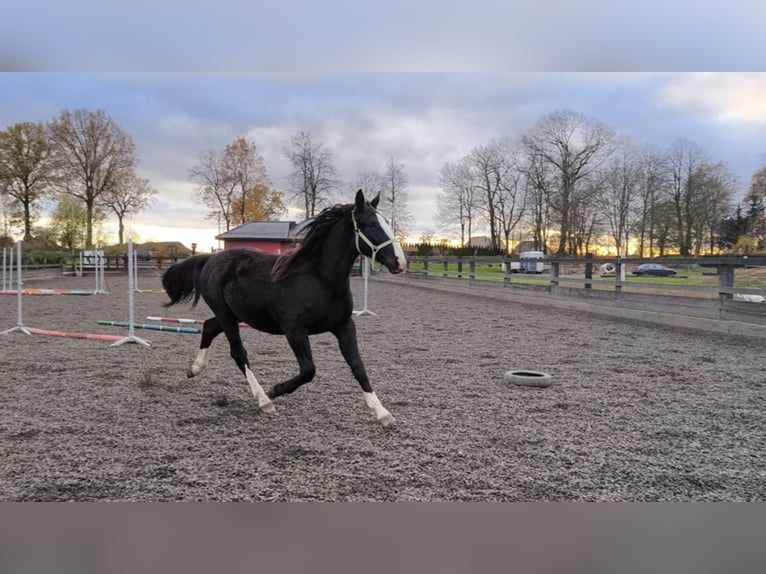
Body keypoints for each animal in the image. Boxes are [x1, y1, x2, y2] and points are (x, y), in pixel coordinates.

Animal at [162, 190, 408, 428]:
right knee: (238, 353)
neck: (320, 280)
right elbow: (308, 370)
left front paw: (382, 413)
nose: (400, 262)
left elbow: (358, 366)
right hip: (226, 315)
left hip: (233, 315)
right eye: (371, 224)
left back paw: (194, 369)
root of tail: (210, 259)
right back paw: (264, 400)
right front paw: (276, 389)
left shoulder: (345, 326)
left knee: (209, 327)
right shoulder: (294, 330)